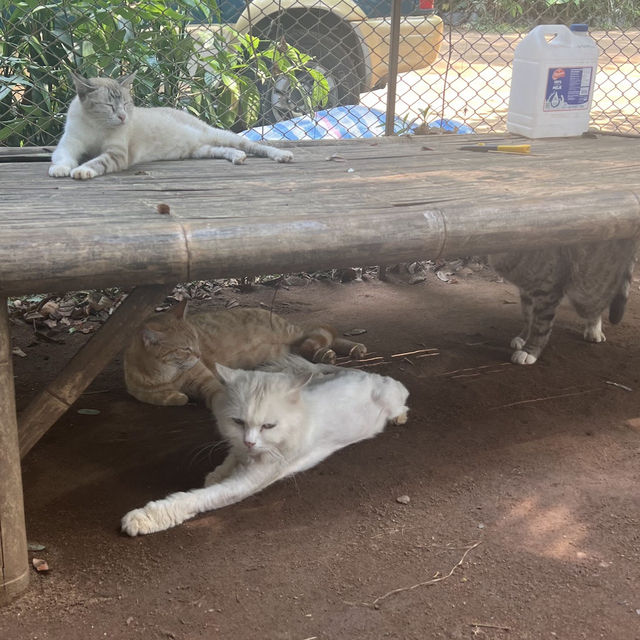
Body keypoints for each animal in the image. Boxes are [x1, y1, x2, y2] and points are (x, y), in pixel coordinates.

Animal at [50, 72, 292, 180]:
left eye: (126, 104)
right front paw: (61, 169)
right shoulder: (69, 144)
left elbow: (97, 161)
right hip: (200, 150)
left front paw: (82, 170)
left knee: (254, 146)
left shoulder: (116, 153)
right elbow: (62, 157)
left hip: (220, 135)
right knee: (224, 150)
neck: (96, 125)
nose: (122, 117)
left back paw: (282, 155)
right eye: (109, 106)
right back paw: (237, 157)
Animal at [490, 236, 636, 364]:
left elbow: (539, 326)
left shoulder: (548, 291)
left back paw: (594, 329)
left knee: (596, 301)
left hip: (589, 280)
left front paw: (529, 351)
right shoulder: (526, 289)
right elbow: (527, 316)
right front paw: (523, 337)